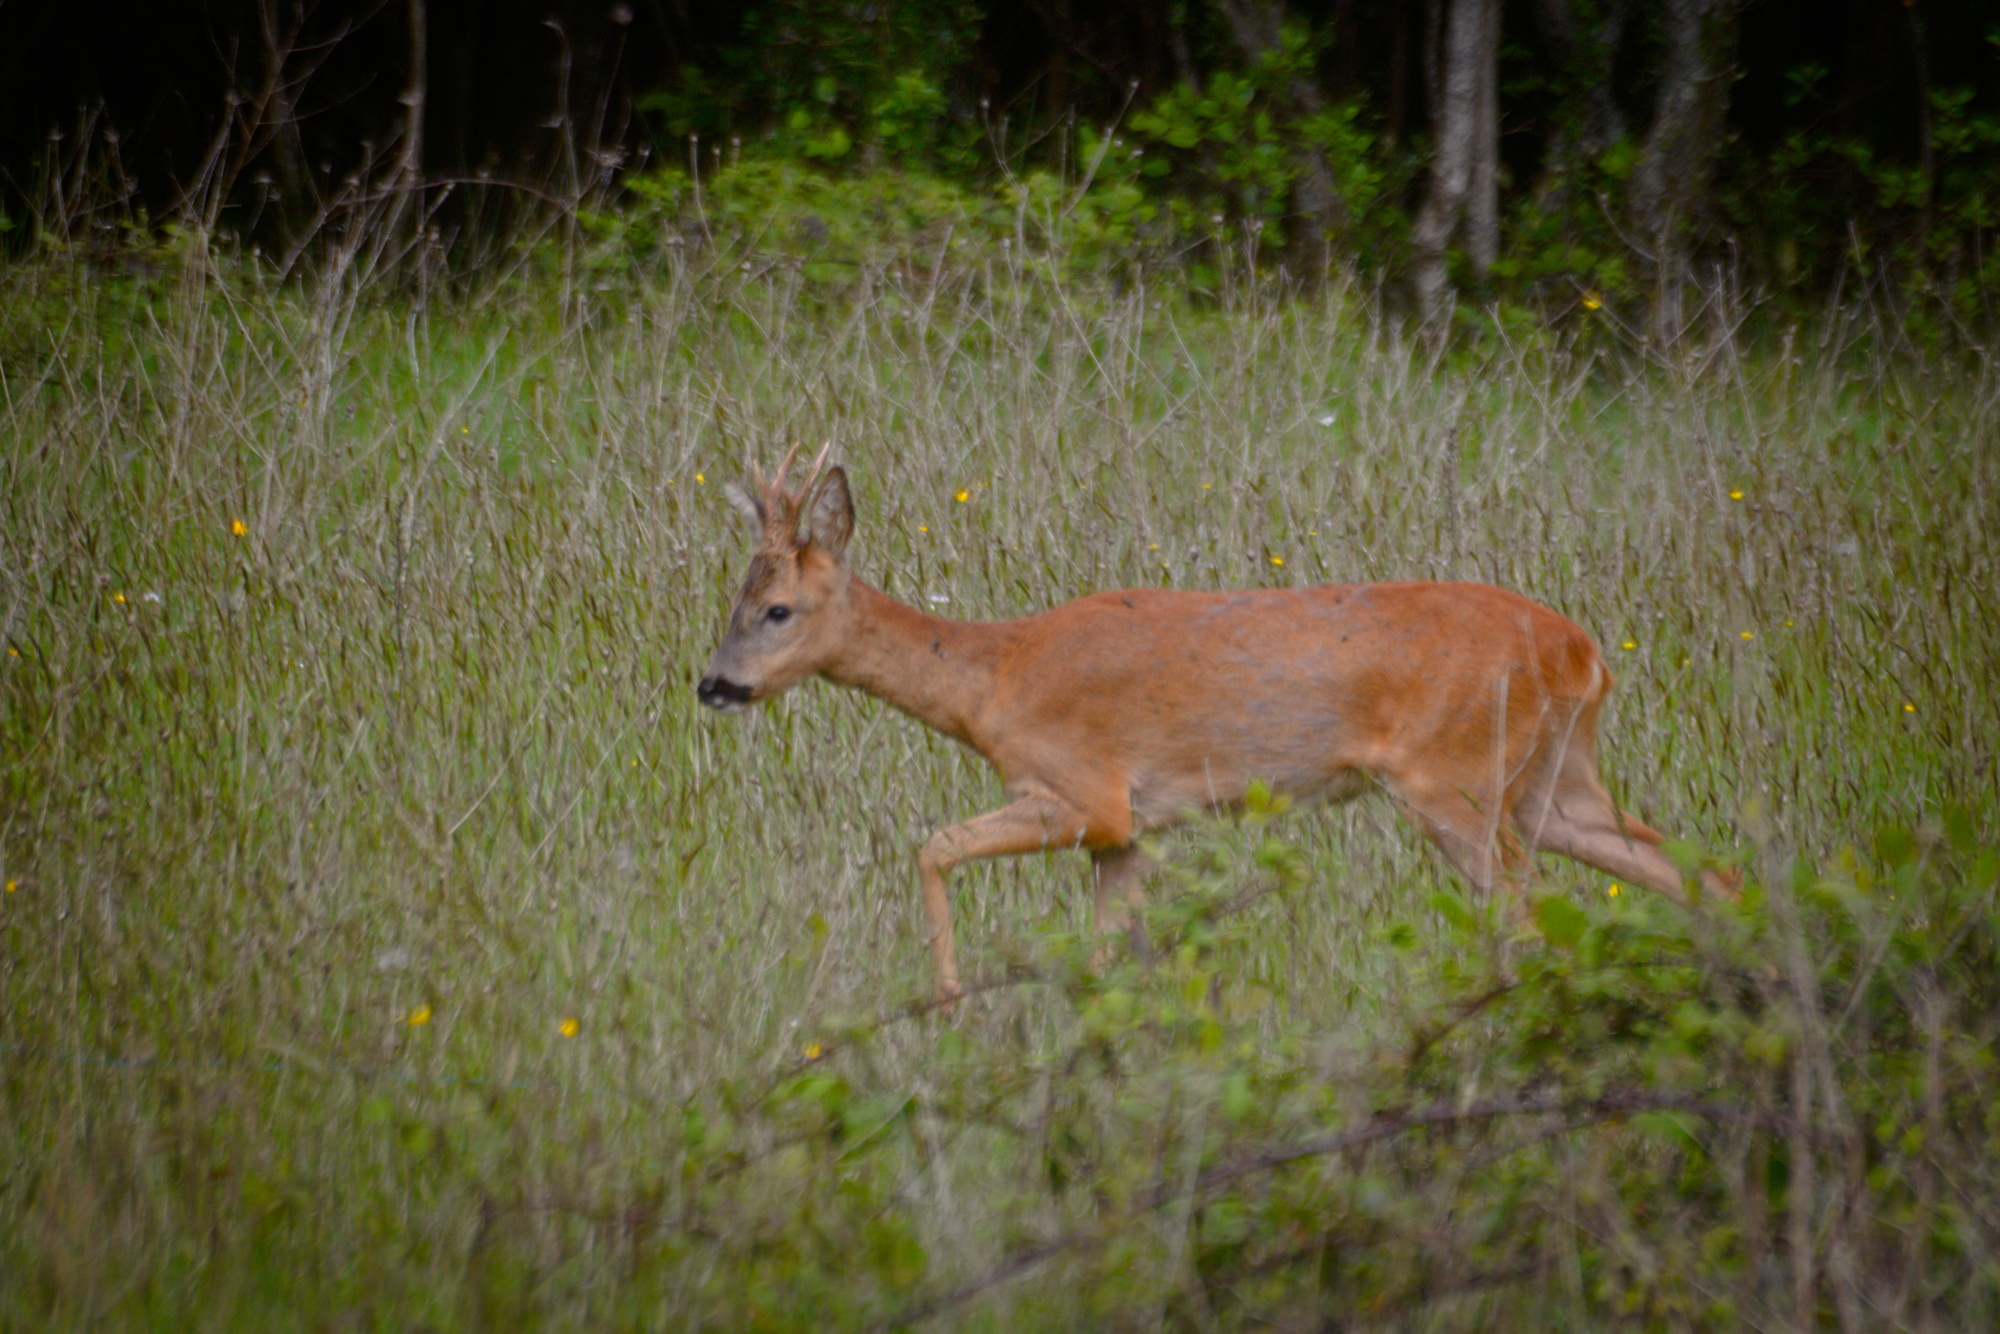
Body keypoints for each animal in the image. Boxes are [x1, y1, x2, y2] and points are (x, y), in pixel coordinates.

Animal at [696, 448, 1728, 1000]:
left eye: (777, 609)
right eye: (732, 598)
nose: (713, 685)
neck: (994, 682)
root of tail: (1586, 652)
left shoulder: (1087, 794)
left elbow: (932, 846)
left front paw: (947, 1002)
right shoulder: (1132, 834)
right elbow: (1104, 958)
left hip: (1459, 780)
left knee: (1525, 914)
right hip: (1556, 776)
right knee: (1693, 869)